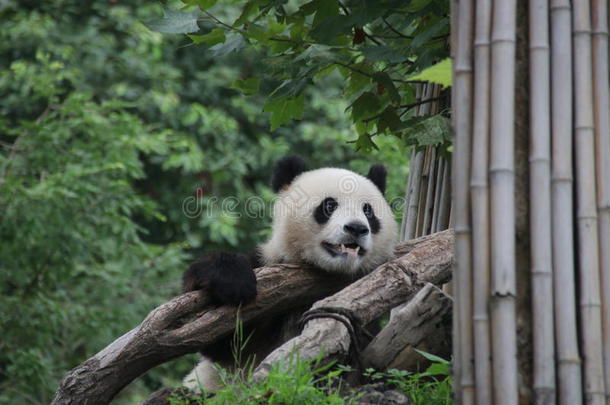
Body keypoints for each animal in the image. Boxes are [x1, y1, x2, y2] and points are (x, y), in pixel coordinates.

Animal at [183, 154, 396, 388]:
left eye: (368, 211)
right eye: (329, 205)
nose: (357, 228)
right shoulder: (270, 266)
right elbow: (218, 339)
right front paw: (233, 282)